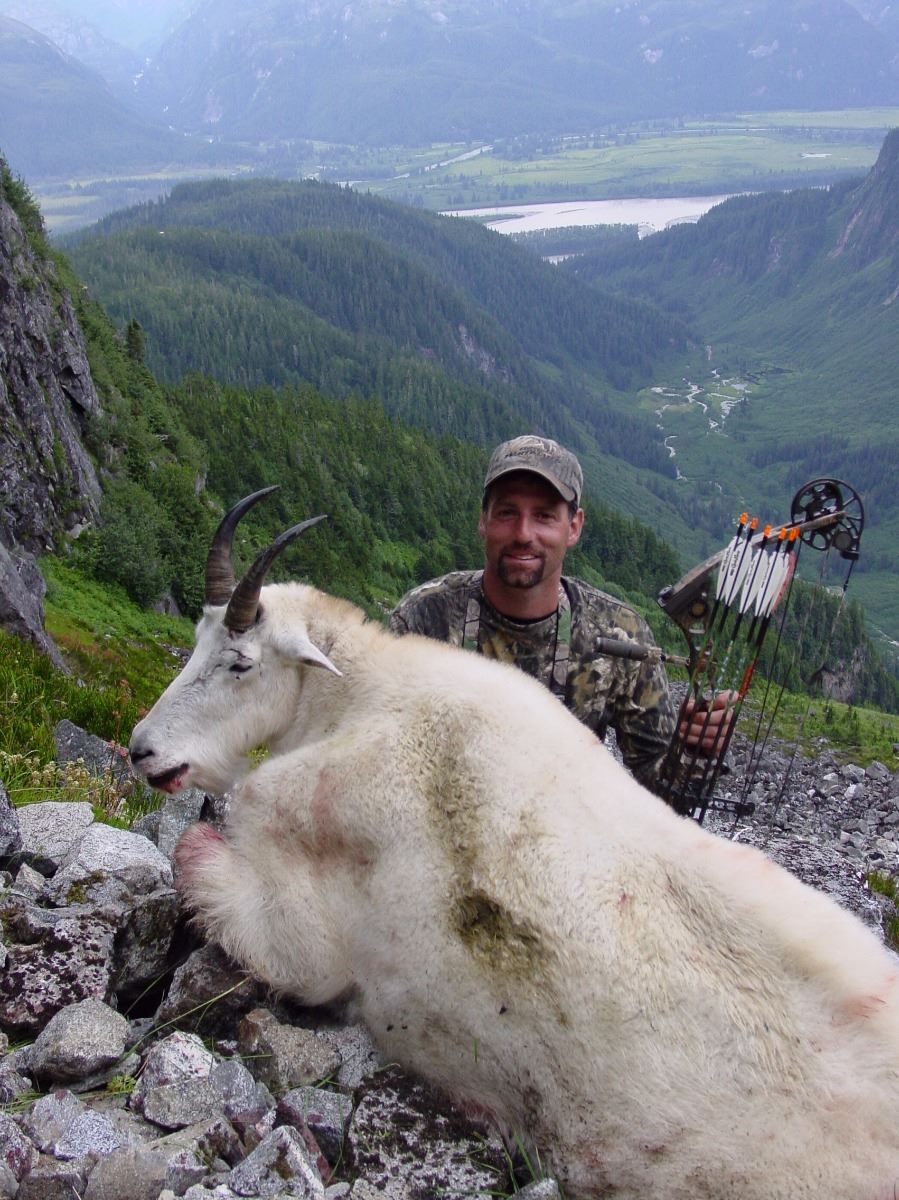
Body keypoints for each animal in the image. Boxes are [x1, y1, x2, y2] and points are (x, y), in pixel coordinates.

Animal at [130, 489, 899, 1199]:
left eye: (240, 663)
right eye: (196, 638)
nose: (144, 750)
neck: (355, 702)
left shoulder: (300, 934)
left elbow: (201, 860)